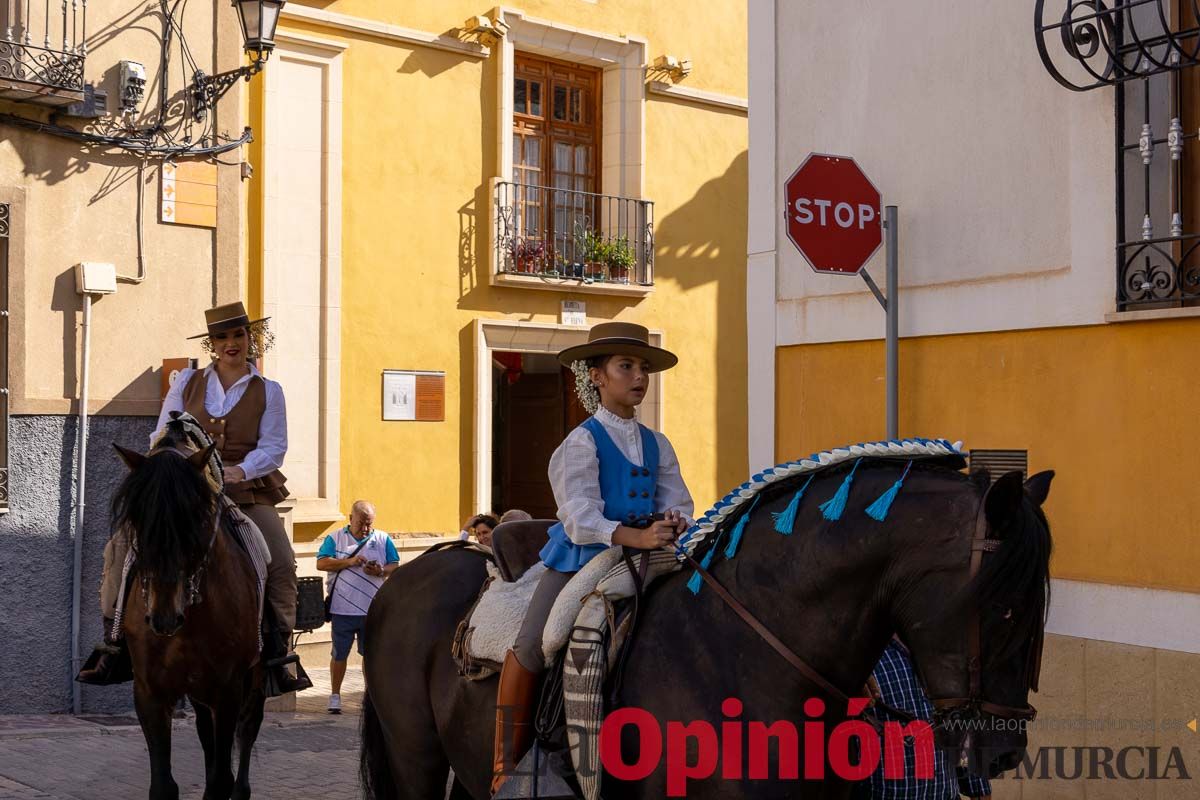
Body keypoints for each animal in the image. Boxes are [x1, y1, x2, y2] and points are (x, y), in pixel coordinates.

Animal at [112, 419, 267, 800]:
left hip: (253, 679)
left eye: (196, 519)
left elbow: (221, 778)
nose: (164, 618)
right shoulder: (150, 692)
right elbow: (163, 785)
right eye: (137, 520)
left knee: (247, 730)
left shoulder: (228, 690)